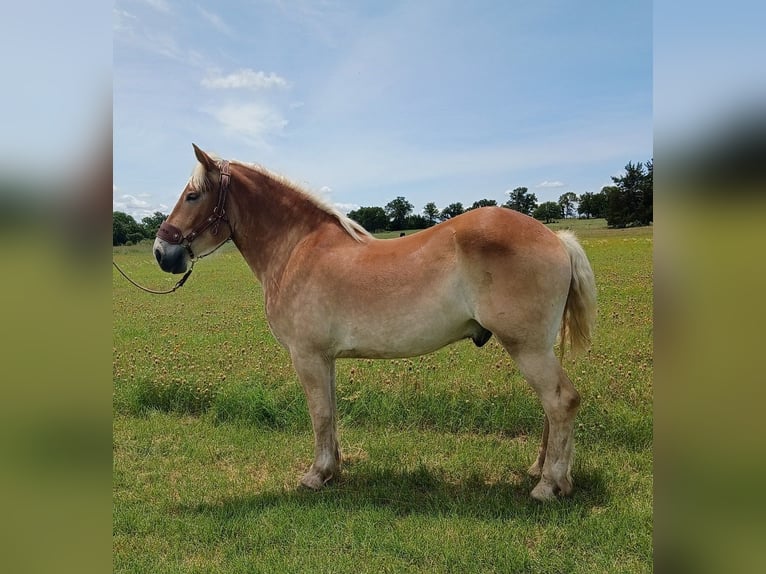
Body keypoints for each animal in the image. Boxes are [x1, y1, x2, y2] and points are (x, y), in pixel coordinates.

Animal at [153, 144, 597, 501]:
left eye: (192, 195)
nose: (161, 252)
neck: (297, 248)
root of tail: (557, 239)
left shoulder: (307, 356)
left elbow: (320, 414)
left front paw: (316, 475)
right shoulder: (324, 358)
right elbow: (330, 412)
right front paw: (333, 469)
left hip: (527, 347)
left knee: (561, 401)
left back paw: (549, 486)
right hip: (537, 347)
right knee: (551, 407)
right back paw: (544, 471)